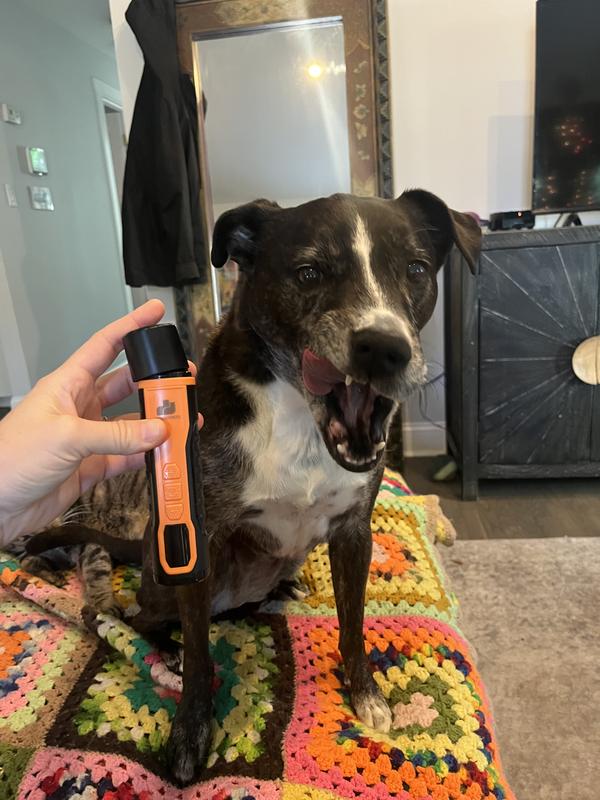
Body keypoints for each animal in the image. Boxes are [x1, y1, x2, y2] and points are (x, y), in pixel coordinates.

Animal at [28, 189, 480, 785]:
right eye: (309, 272)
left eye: (417, 269)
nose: (385, 349)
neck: (299, 419)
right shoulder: (199, 540)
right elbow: (201, 657)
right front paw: (189, 735)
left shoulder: (354, 533)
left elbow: (354, 624)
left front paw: (366, 695)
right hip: (164, 574)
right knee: (135, 616)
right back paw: (164, 646)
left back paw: (282, 588)